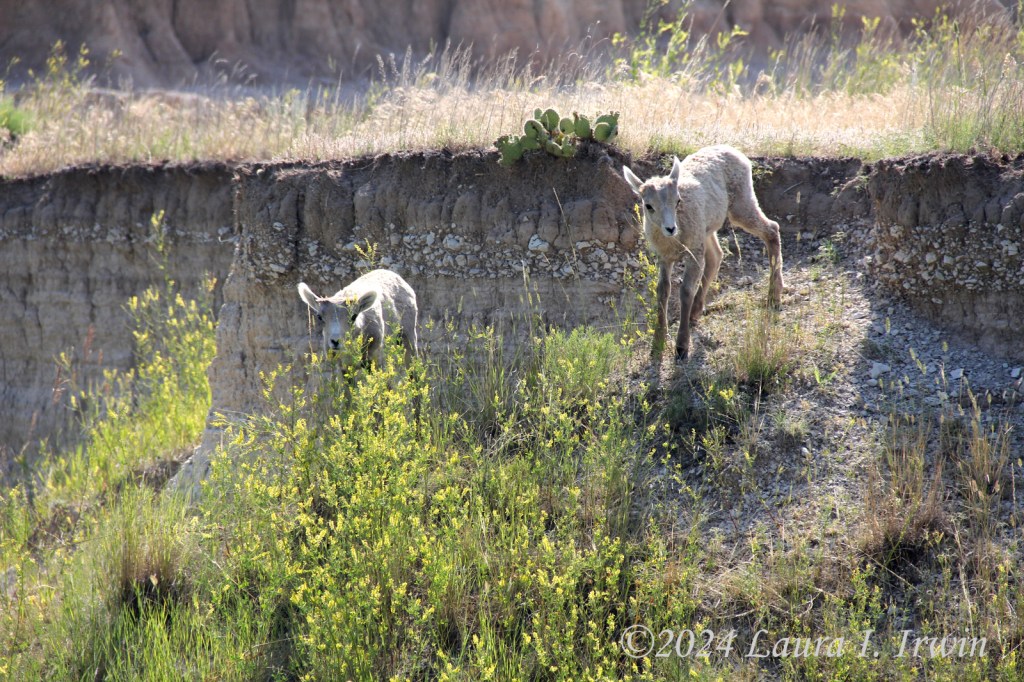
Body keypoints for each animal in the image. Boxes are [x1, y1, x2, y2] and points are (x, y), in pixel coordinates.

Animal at [623, 144, 784, 361]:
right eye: (648, 206)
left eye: (678, 201)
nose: (670, 228)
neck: (674, 240)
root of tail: (734, 151)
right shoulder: (664, 258)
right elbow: (663, 291)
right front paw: (658, 343)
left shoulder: (693, 253)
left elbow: (685, 291)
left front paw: (681, 347)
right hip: (706, 231)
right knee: (716, 256)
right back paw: (696, 311)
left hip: (740, 207)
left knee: (772, 230)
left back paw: (774, 296)